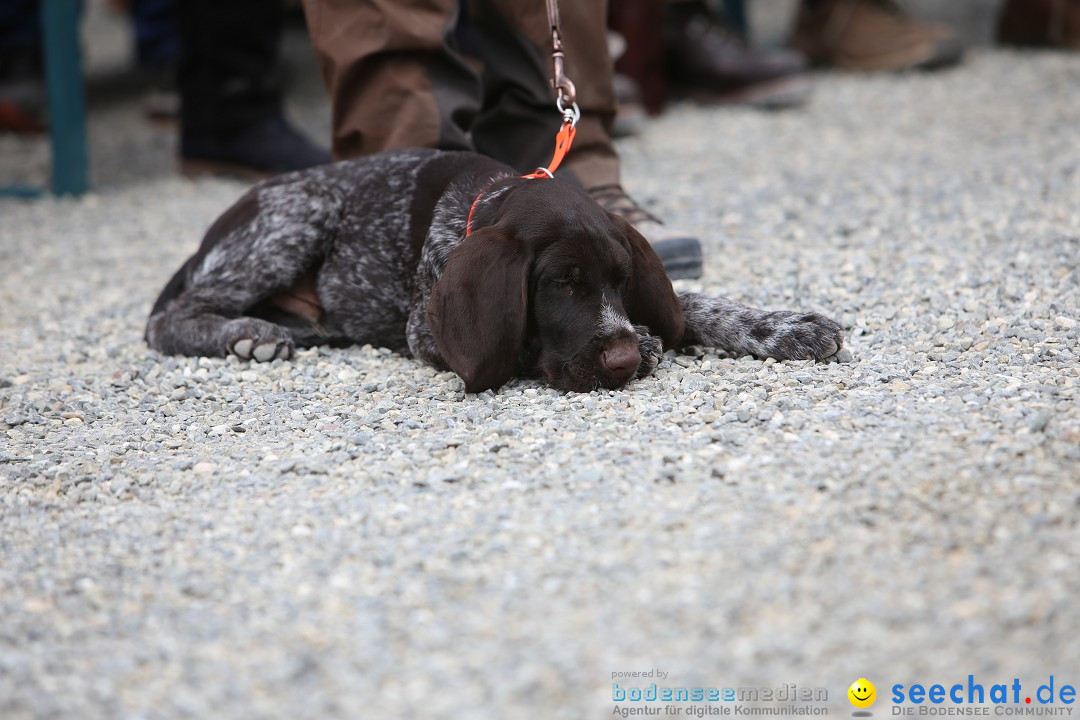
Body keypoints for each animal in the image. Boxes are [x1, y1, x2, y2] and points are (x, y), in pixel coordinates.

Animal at [147, 148, 846, 390]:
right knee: (168, 318)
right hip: (302, 209)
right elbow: (512, 341)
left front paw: (783, 326)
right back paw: (245, 335)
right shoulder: (424, 331)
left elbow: (696, 305)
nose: (621, 357)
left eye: (621, 280)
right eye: (560, 283)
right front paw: (642, 343)